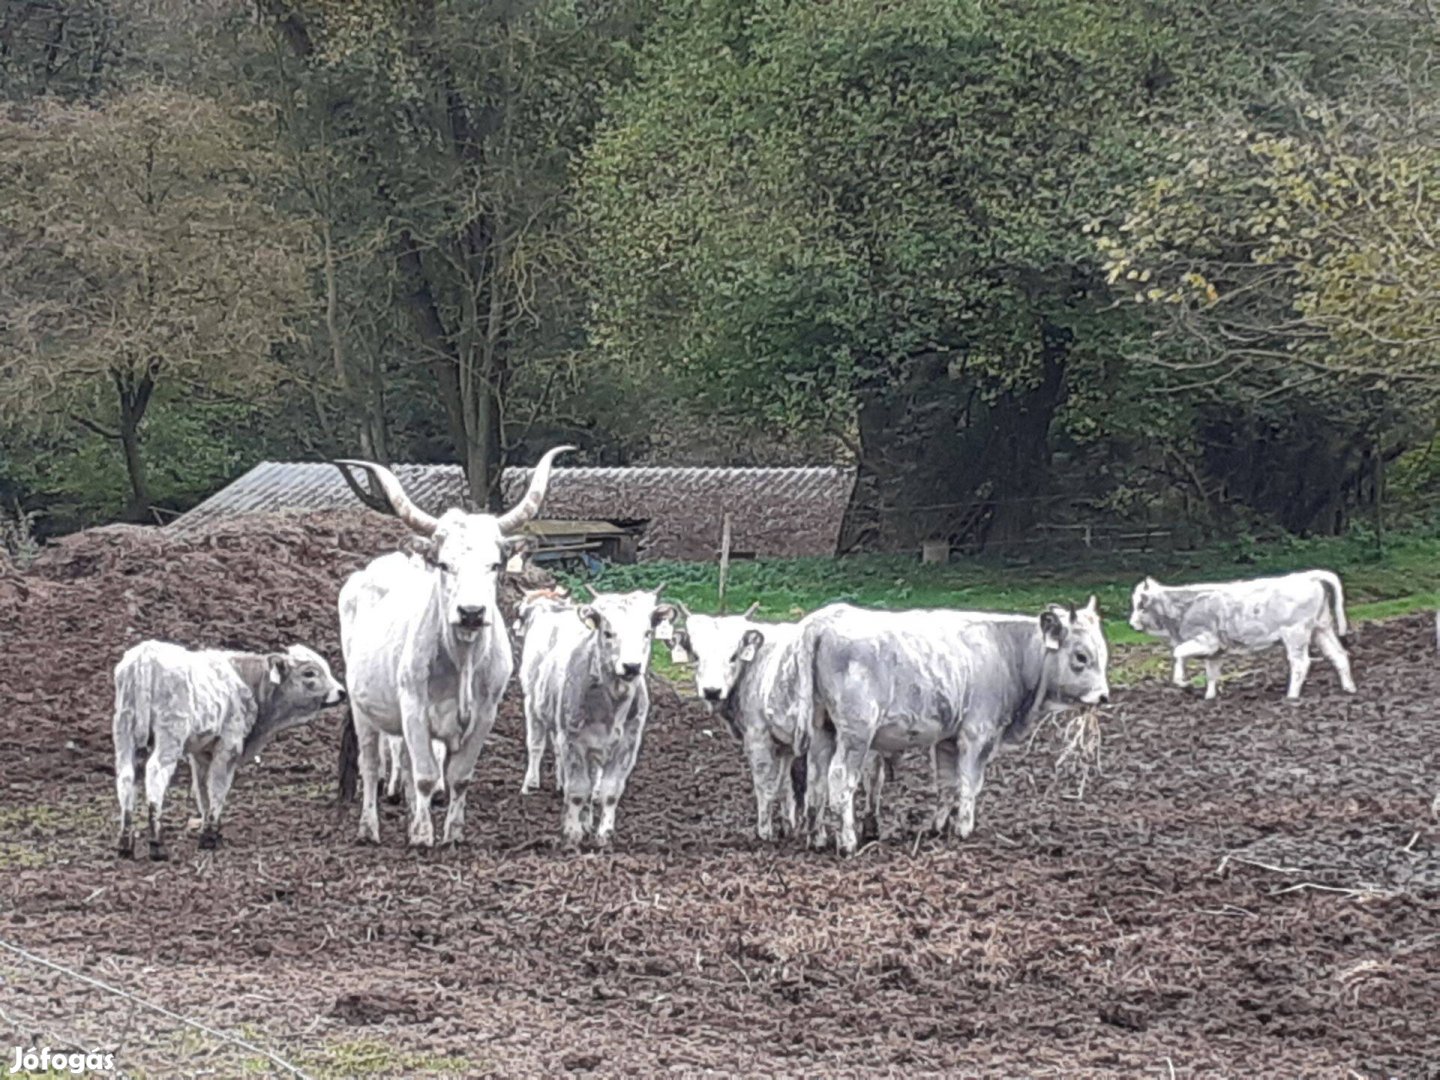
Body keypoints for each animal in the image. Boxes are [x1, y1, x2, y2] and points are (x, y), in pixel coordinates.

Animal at [113, 642, 344, 864]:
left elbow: (203, 791)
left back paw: (125, 842)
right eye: (310, 673)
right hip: (170, 735)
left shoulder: (200, 754)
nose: (341, 691)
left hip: (124, 733)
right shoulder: (228, 748)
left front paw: (210, 828)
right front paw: (209, 836)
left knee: (126, 777)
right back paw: (157, 844)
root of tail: (145, 655)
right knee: (155, 774)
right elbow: (218, 787)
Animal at [335, 446, 567, 846]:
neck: (463, 659)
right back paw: (369, 828)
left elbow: (458, 777)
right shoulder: (414, 709)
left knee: (405, 764)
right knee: (371, 764)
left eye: (495, 565)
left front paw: (451, 833)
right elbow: (427, 776)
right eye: (444, 564)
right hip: (363, 709)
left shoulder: (484, 715)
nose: (471, 612)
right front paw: (423, 835)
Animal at [521, 587, 676, 852]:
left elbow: (609, 791)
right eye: (608, 632)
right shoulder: (572, 740)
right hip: (533, 703)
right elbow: (576, 791)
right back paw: (530, 784)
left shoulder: (628, 745)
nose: (631, 666)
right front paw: (572, 835)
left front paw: (604, 835)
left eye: (647, 633)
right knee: (536, 745)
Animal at [794, 601, 1105, 852]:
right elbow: (969, 784)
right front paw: (963, 828)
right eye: (1081, 656)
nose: (1104, 696)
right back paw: (847, 842)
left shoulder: (947, 739)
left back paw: (817, 838)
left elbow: (947, 783)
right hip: (856, 735)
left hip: (823, 730)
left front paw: (939, 826)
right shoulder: (978, 735)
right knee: (839, 780)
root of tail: (824, 621)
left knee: (816, 782)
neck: (1006, 650)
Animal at [1128, 570, 1353, 705]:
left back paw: (1291, 696)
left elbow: (1178, 652)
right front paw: (1209, 697)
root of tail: (1309, 576)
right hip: (1321, 629)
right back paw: (1349, 689)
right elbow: (1211, 674)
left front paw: (1183, 683)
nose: (1131, 624)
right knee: (1339, 655)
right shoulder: (1214, 651)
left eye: (1141, 605)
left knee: (1301, 663)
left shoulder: (1207, 640)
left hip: (1295, 634)